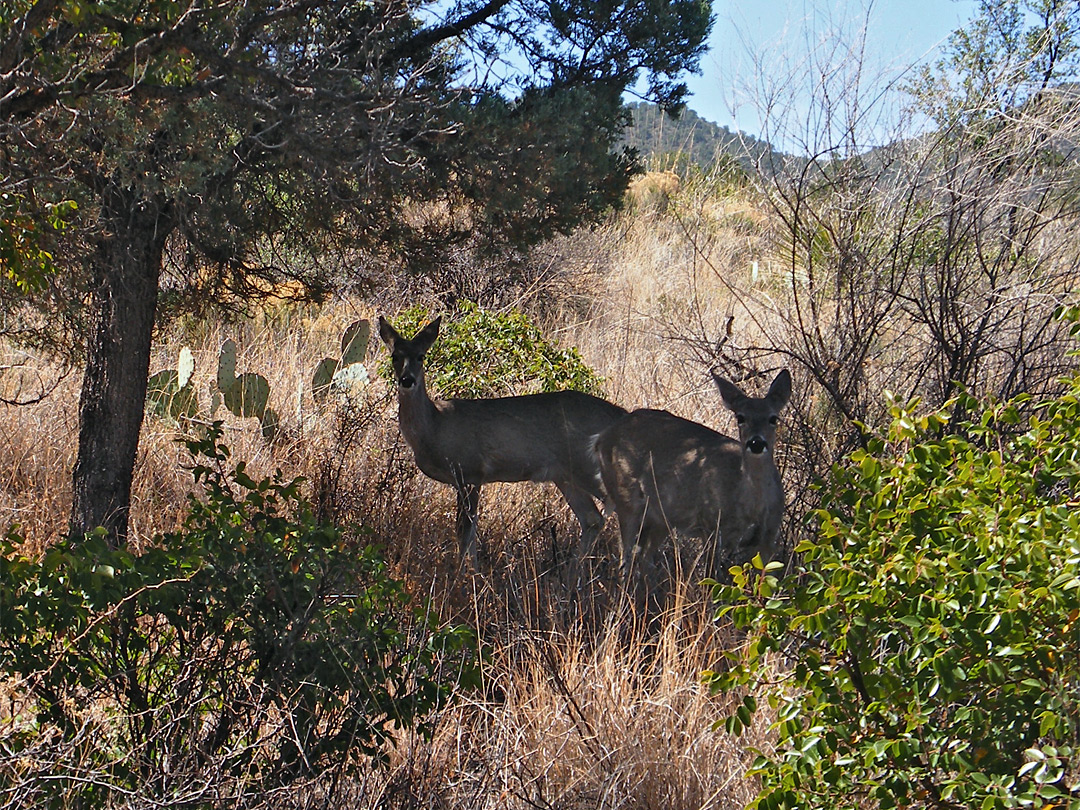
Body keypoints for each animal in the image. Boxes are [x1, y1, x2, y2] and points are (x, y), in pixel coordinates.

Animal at [382, 313, 630, 565]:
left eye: (421, 356)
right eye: (395, 356)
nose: (407, 380)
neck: (435, 426)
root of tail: (621, 415)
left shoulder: (470, 472)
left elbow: (464, 531)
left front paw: (466, 571)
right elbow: (468, 532)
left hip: (588, 467)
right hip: (564, 474)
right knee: (592, 518)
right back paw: (575, 570)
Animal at [596, 371, 790, 600]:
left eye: (773, 418)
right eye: (740, 417)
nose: (756, 443)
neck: (750, 506)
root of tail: (602, 438)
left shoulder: (769, 537)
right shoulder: (711, 526)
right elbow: (712, 582)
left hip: (660, 518)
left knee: (643, 557)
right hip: (626, 498)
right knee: (625, 555)